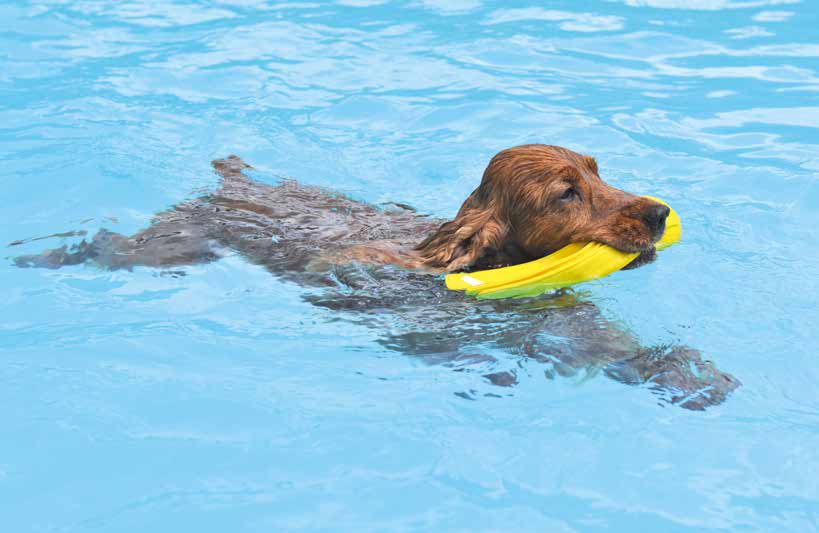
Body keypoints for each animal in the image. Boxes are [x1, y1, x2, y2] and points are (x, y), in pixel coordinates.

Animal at [12, 143, 740, 410]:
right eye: (567, 192)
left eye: (596, 168)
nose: (659, 213)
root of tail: (236, 181)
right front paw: (491, 374)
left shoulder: (567, 321)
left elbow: (625, 349)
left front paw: (694, 376)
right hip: (172, 246)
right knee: (105, 246)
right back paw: (37, 257)